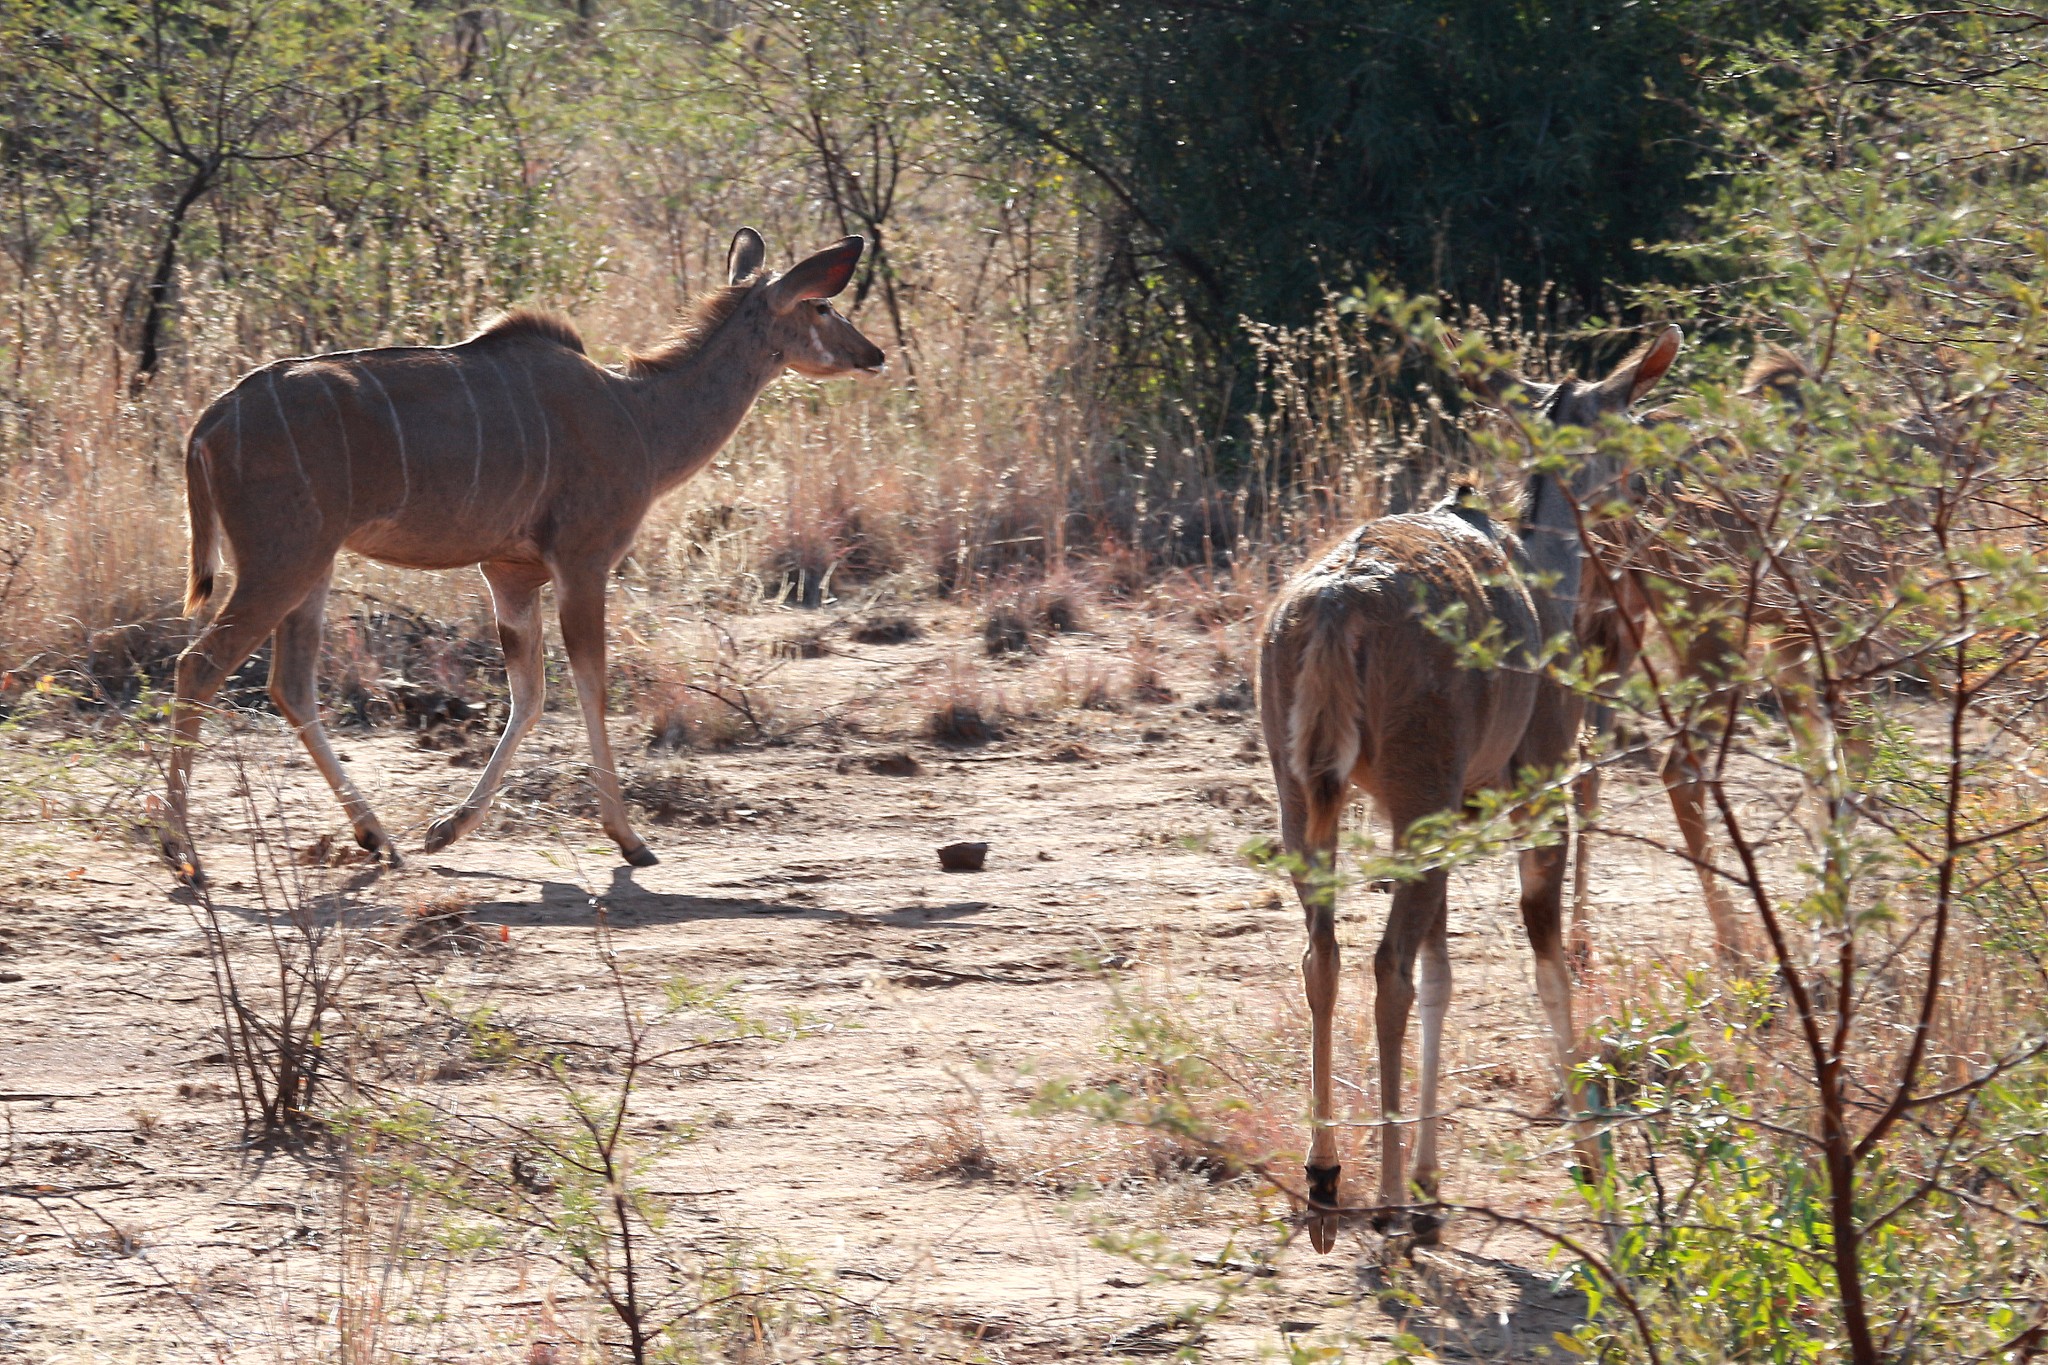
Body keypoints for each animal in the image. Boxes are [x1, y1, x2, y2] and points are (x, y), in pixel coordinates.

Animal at [163, 228, 884, 879]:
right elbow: (590, 685)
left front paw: (446, 829)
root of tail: (208, 423)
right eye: (822, 306)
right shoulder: (583, 561)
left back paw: (379, 839)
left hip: (311, 566)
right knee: (200, 665)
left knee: (289, 685)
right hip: (281, 561)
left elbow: (529, 695)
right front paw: (630, 840)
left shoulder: (508, 573)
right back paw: (183, 854)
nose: (873, 353)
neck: (640, 415)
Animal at [1261, 325, 1679, 1252]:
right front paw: (1591, 1160)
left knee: (1326, 956)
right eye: (1633, 434)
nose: (1641, 521)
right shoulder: (1532, 787)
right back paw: (1380, 1199)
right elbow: (1542, 957)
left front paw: (1432, 1179)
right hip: (1414, 801)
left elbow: (1444, 972)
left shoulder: (1442, 811)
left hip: (1306, 797)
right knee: (1384, 964)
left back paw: (1325, 1181)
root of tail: (1335, 607)